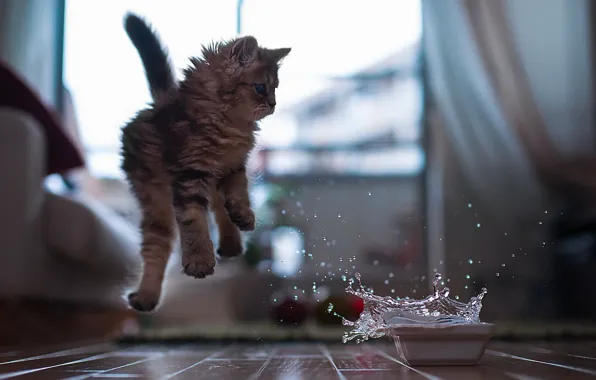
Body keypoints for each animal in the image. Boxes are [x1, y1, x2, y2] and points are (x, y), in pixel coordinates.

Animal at [120, 14, 288, 312]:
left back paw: (232, 243)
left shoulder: (234, 166)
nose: (273, 104)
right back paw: (146, 297)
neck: (228, 124)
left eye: (275, 88)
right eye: (260, 88)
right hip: (155, 199)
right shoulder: (190, 173)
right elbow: (194, 220)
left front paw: (244, 215)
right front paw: (199, 261)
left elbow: (239, 194)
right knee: (157, 246)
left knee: (218, 208)